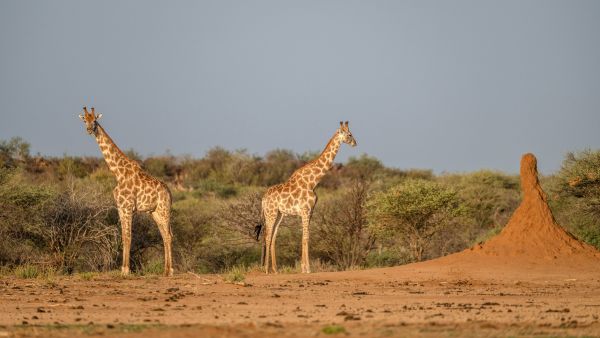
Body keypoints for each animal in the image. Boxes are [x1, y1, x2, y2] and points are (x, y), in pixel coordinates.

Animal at [78, 107, 175, 276]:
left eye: (95, 120)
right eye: (85, 120)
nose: (90, 129)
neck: (117, 172)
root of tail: (169, 192)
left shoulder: (128, 207)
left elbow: (128, 236)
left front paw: (126, 270)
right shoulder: (120, 207)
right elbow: (123, 236)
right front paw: (123, 269)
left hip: (164, 209)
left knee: (169, 235)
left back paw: (170, 271)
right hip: (155, 212)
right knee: (164, 235)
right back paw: (165, 270)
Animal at [262, 120, 356, 274]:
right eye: (349, 134)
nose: (355, 143)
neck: (313, 182)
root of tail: (263, 199)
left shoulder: (310, 211)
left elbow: (304, 237)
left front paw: (303, 267)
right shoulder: (305, 211)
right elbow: (306, 237)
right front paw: (307, 269)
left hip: (279, 214)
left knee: (274, 236)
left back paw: (275, 269)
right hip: (271, 213)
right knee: (268, 236)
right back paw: (266, 270)